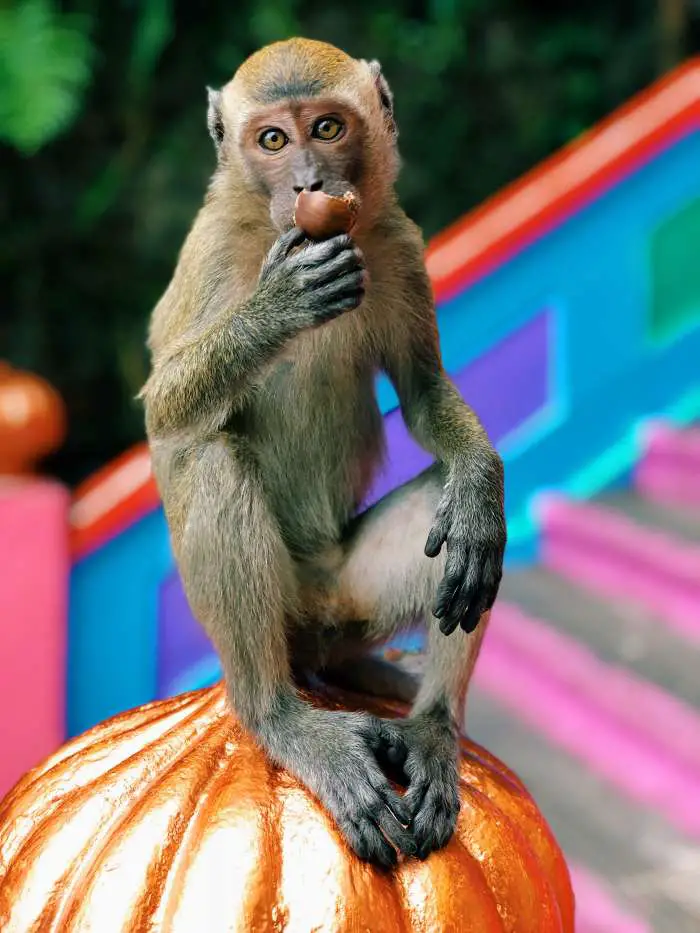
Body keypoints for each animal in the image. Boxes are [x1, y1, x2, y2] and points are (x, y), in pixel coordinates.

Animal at [141, 36, 504, 868]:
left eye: (328, 128)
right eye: (273, 140)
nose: (309, 183)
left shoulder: (397, 240)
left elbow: (424, 393)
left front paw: (480, 482)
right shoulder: (210, 250)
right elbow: (167, 407)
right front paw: (280, 305)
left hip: (350, 592)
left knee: (453, 541)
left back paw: (430, 722)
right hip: (273, 615)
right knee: (210, 456)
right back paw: (280, 716)